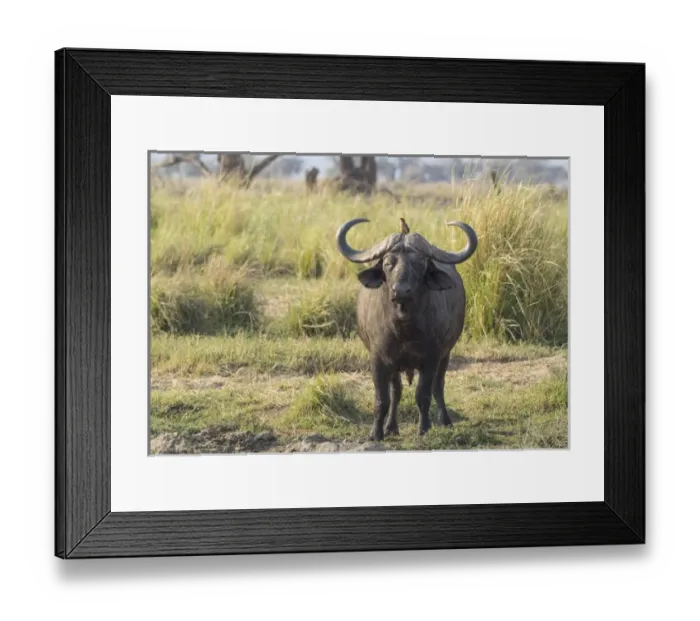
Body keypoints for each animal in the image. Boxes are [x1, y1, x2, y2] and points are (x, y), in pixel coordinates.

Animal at [336, 217, 478, 441]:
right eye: (388, 263)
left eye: (419, 263)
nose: (401, 291)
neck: (403, 328)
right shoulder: (378, 359)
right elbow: (382, 399)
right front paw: (376, 433)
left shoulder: (431, 357)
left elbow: (423, 395)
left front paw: (424, 428)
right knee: (397, 391)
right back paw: (391, 427)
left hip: (446, 355)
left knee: (438, 386)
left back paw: (445, 421)